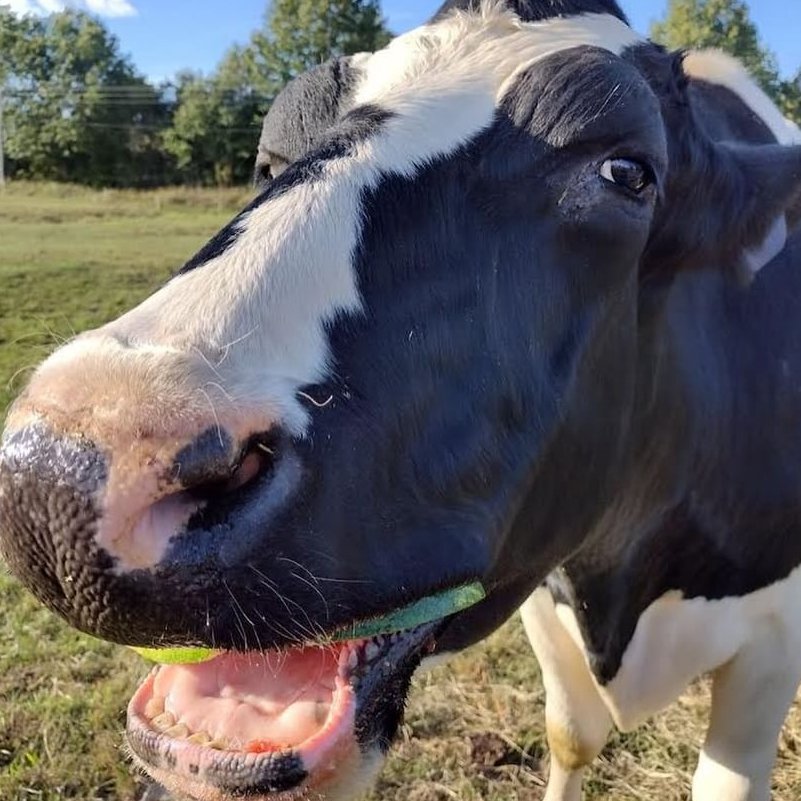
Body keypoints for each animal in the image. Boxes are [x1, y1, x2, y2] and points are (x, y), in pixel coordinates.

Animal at [1, 1, 801, 800]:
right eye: (270, 161)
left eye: (626, 171)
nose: (52, 478)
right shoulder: (545, 594)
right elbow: (571, 735)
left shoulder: (772, 643)